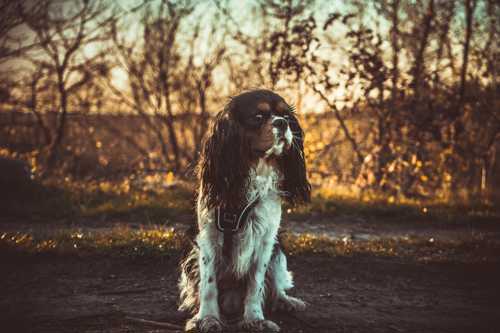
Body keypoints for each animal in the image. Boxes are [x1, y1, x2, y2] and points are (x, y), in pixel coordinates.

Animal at [178, 89, 310, 330]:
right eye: (257, 117)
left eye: (286, 116)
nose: (282, 123)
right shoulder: (209, 238)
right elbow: (208, 285)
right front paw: (207, 318)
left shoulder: (266, 240)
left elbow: (256, 284)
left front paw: (255, 319)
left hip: (278, 252)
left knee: (276, 286)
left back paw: (286, 301)